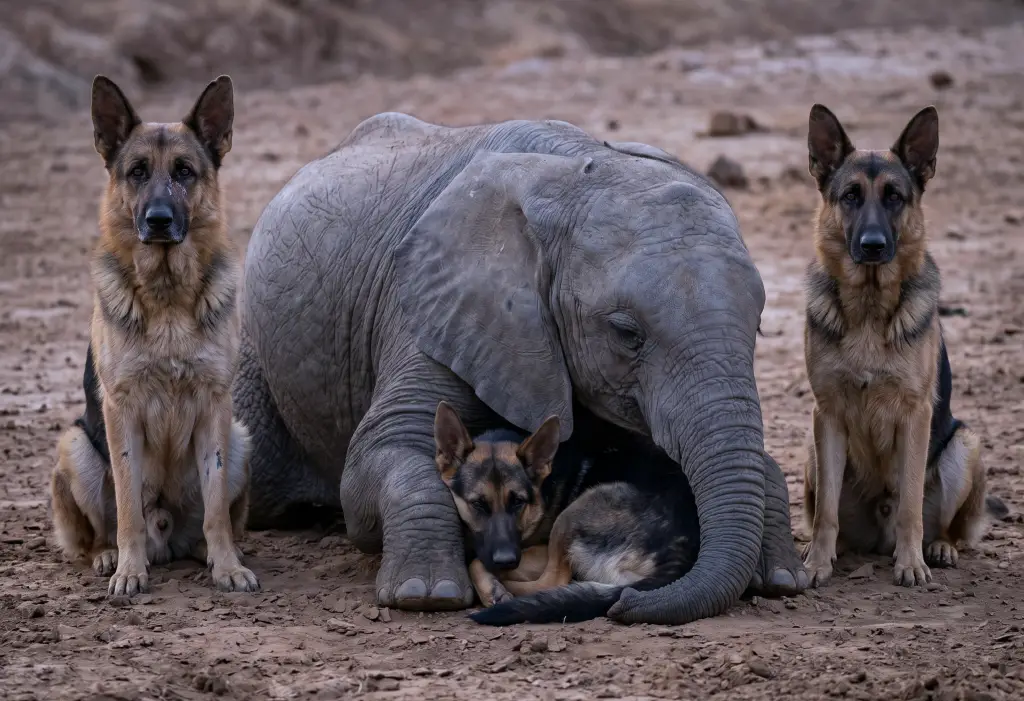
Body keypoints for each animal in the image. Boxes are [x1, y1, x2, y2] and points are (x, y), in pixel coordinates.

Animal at [233, 112, 809, 624]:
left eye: (759, 325)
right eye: (627, 333)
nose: (628, 604)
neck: (576, 171)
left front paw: (782, 580)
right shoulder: (433, 308)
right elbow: (378, 459)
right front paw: (427, 595)